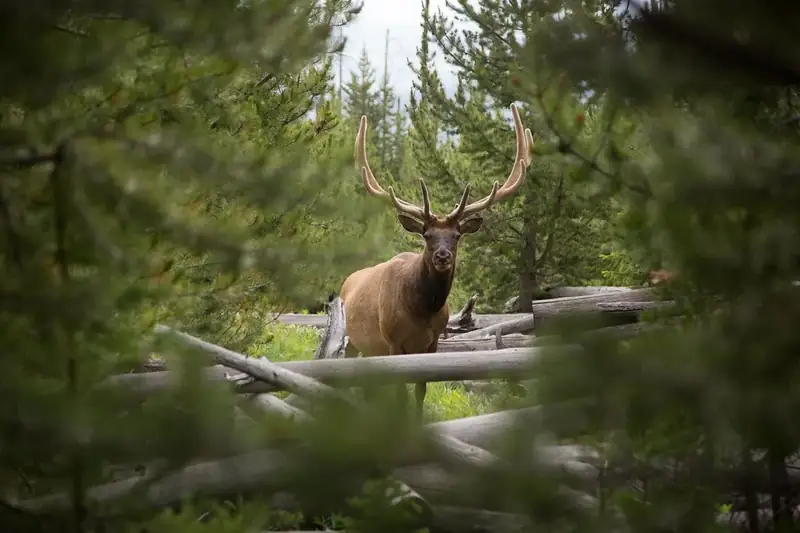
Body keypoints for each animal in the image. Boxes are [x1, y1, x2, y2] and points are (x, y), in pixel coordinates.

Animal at [338, 104, 534, 422]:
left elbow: (420, 390)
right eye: (427, 235)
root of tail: (348, 280)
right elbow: (400, 393)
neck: (422, 311)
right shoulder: (393, 342)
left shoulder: (432, 344)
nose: (443, 256)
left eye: (456, 236)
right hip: (353, 339)